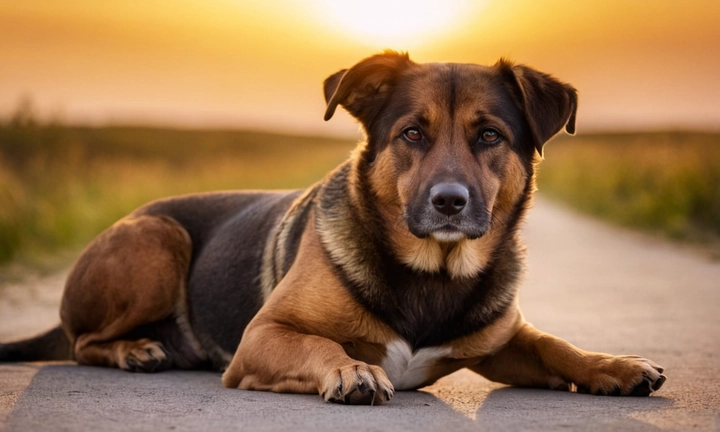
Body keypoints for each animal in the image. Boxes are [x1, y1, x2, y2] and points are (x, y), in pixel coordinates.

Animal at [0, 52, 668, 404]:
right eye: (412, 133)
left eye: (489, 136)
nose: (449, 203)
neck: (432, 272)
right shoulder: (264, 336)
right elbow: (318, 343)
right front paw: (352, 369)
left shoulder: (506, 343)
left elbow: (555, 345)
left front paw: (613, 365)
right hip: (159, 239)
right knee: (82, 341)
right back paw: (136, 349)